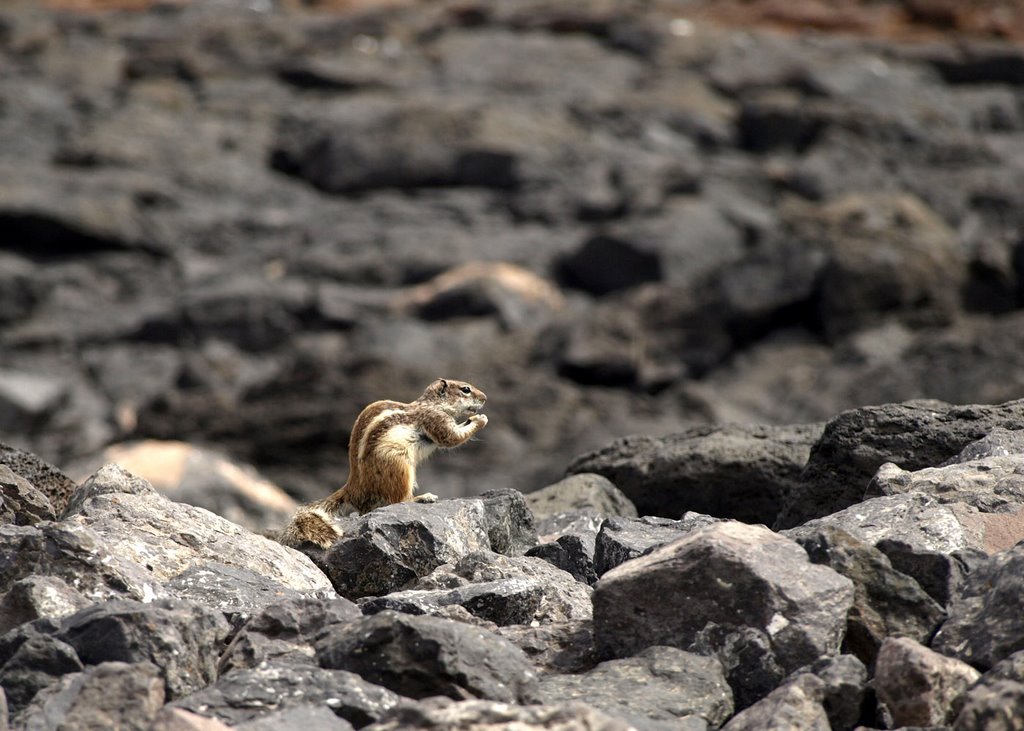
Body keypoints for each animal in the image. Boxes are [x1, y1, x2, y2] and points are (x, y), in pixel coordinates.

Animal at [276, 380, 487, 548]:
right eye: (465, 389)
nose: (485, 398)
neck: (432, 403)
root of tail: (353, 486)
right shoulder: (435, 419)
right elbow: (451, 437)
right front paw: (481, 419)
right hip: (399, 465)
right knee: (399, 500)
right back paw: (422, 497)